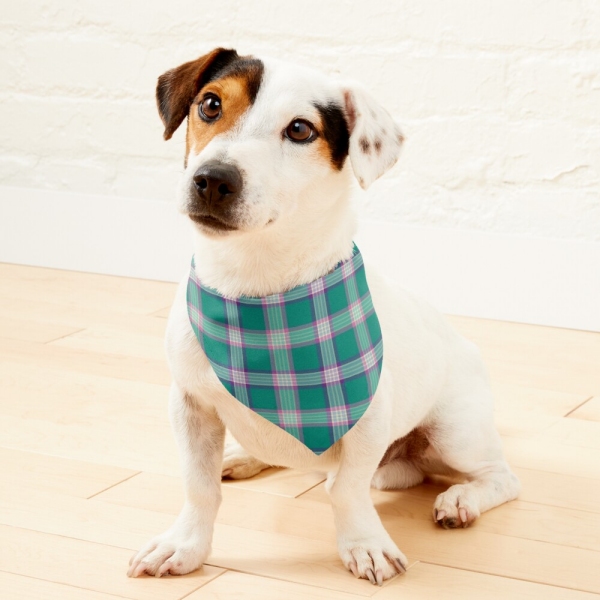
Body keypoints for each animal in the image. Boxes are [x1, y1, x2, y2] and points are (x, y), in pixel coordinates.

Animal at [127, 48, 520, 584]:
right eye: (210, 104)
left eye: (299, 130)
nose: (212, 179)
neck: (257, 288)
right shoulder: (190, 405)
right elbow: (199, 486)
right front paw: (185, 545)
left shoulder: (368, 420)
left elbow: (347, 490)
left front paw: (365, 544)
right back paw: (244, 456)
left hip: (456, 432)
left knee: (500, 477)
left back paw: (462, 499)